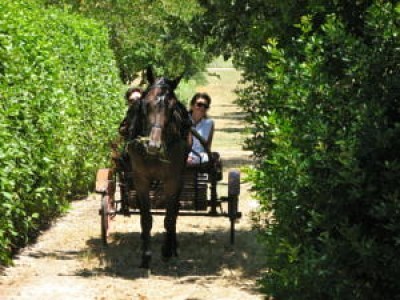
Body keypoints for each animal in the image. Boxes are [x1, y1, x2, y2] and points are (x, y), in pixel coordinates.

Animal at [126, 68, 192, 270]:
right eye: (145, 104)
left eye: (172, 108)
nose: (153, 145)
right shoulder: (140, 179)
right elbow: (146, 218)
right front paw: (146, 256)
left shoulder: (172, 180)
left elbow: (169, 217)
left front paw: (166, 250)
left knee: (174, 211)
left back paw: (173, 246)